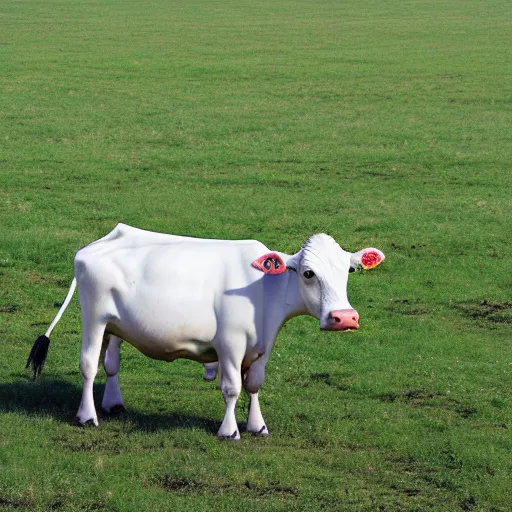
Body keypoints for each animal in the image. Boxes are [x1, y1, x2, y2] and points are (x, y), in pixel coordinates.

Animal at [26, 224, 382, 440]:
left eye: (349, 270)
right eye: (308, 273)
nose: (344, 317)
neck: (264, 290)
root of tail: (98, 243)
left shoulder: (263, 346)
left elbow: (254, 385)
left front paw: (257, 425)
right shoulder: (230, 343)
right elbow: (232, 388)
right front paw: (229, 431)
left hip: (114, 325)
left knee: (110, 364)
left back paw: (113, 404)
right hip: (94, 318)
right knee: (88, 365)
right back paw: (87, 416)